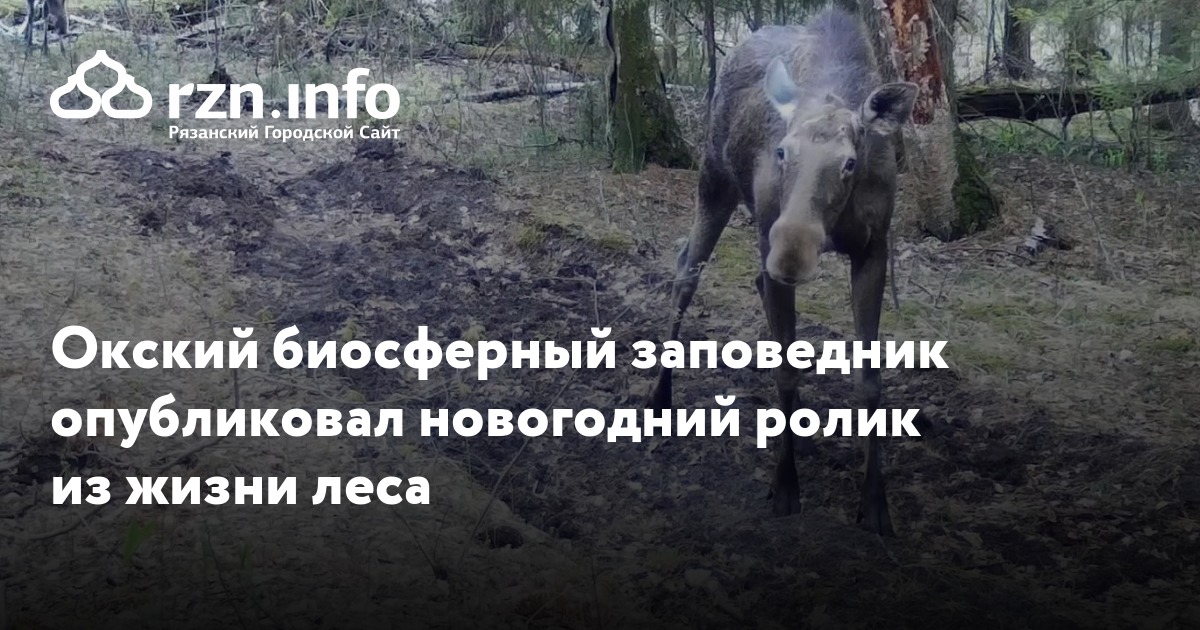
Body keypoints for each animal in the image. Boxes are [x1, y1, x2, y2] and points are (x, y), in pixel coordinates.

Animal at [646, 5, 917, 537]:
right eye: (782, 151)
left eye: (850, 162)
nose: (791, 254)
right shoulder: (768, 239)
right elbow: (788, 371)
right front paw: (785, 486)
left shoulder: (873, 251)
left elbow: (870, 382)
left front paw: (875, 503)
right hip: (715, 179)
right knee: (686, 268)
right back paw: (659, 398)